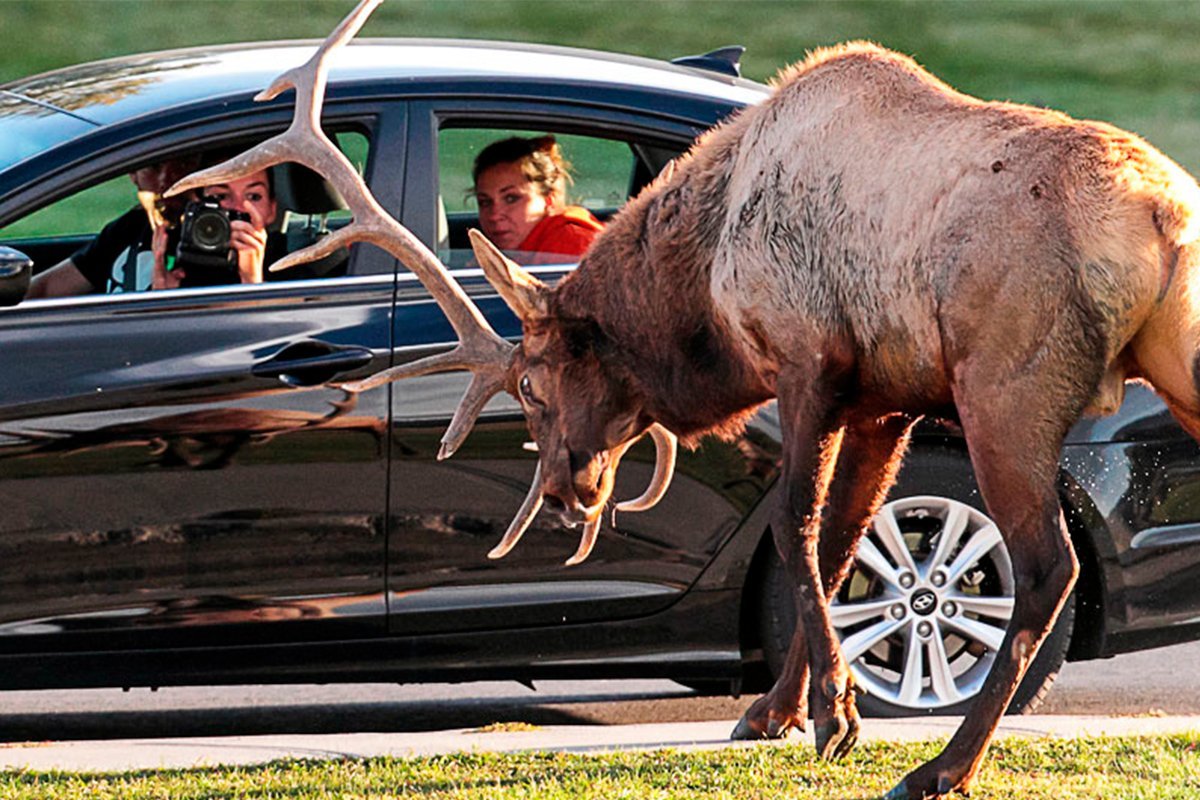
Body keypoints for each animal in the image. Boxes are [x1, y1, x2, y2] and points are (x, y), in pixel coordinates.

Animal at [166, 3, 1200, 796]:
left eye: (533, 384)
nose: (570, 490)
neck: (703, 282)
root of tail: (1163, 222)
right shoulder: (886, 398)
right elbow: (839, 539)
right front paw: (776, 712)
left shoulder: (809, 357)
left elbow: (795, 523)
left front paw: (835, 716)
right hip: (1166, 364)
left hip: (1005, 388)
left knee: (1048, 566)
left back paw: (939, 769)